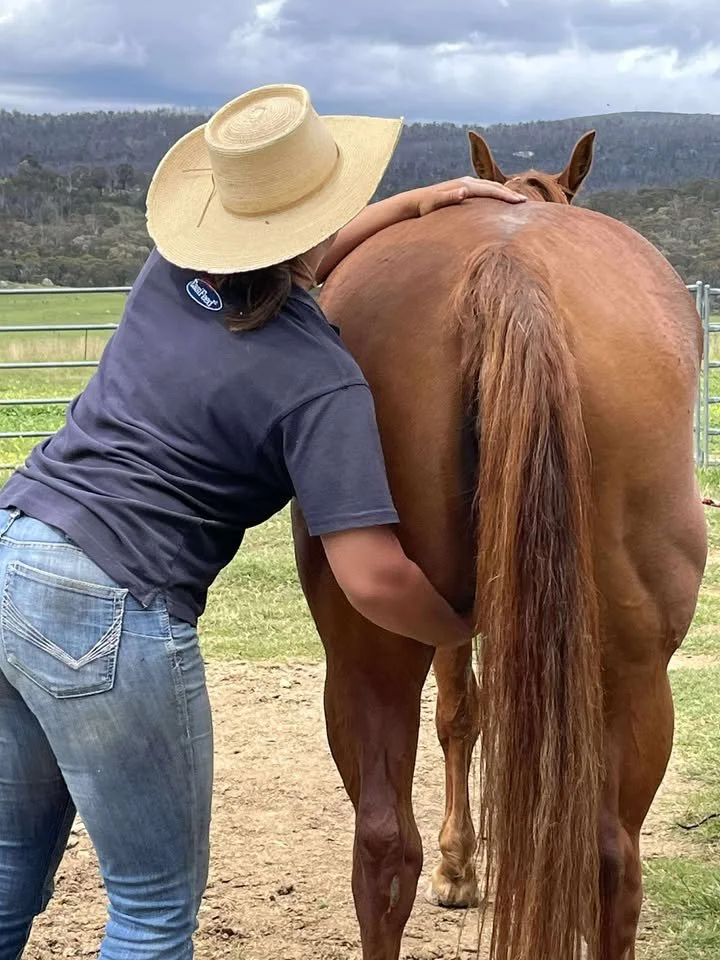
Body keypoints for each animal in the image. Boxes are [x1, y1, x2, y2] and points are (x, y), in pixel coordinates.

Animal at [291, 131, 707, 960]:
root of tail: (507, 272)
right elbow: (466, 713)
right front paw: (462, 869)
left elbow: (463, 714)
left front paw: (460, 867)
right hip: (632, 672)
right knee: (611, 859)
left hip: (366, 647)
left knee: (384, 848)